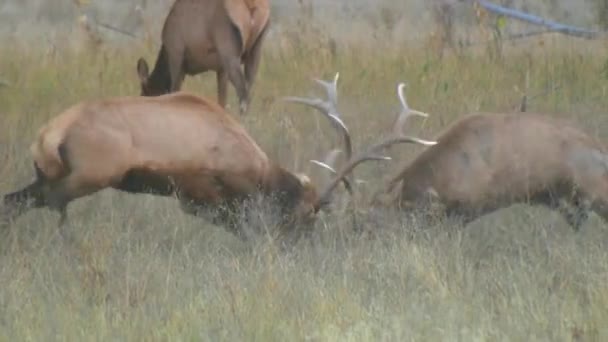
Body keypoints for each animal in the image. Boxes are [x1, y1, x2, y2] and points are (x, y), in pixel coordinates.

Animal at [0, 76, 436, 244]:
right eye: (304, 216)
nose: (305, 249)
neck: (255, 166)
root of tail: (47, 134)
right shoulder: (206, 192)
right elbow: (243, 227)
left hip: (47, 176)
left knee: (11, 202)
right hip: (85, 176)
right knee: (46, 206)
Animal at [139, 0, 272, 115]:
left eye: (145, 92)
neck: (165, 54)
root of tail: (250, 5)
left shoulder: (176, 53)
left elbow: (174, 90)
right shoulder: (221, 69)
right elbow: (222, 101)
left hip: (230, 53)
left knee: (243, 95)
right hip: (255, 51)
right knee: (248, 91)